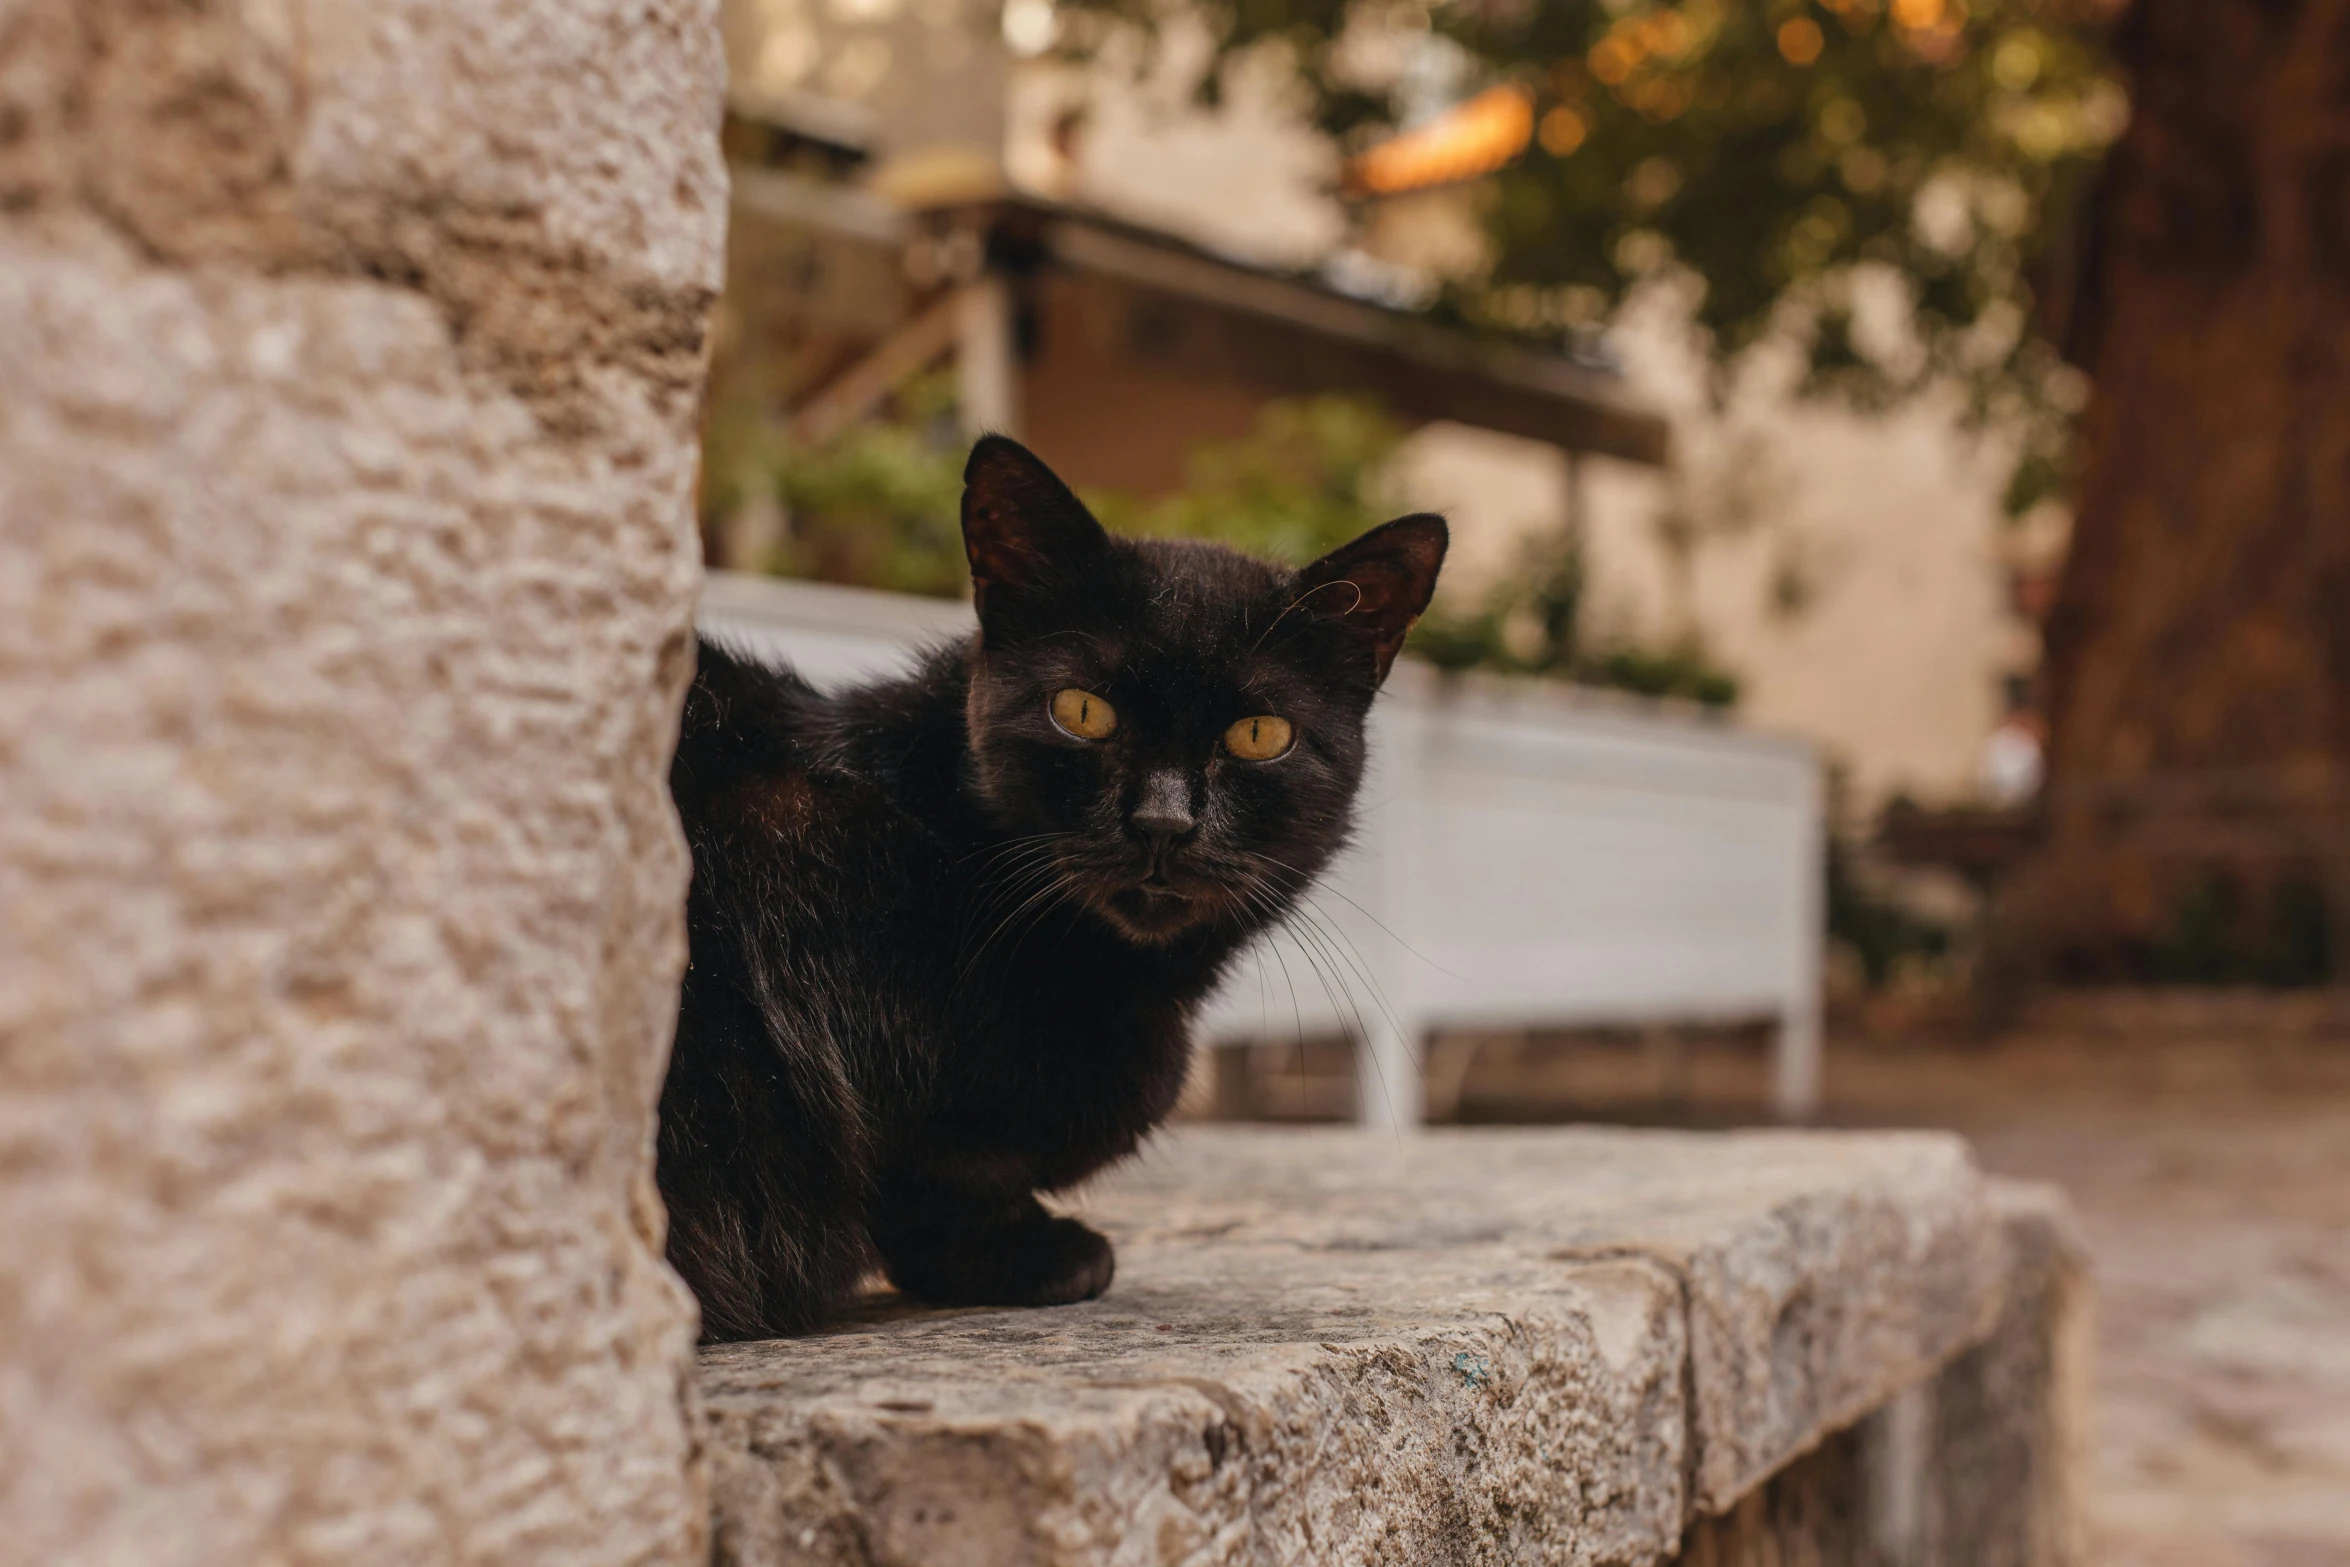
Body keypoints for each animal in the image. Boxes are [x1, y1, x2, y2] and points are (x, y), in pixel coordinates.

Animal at [653, 434, 1438, 1343]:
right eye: (1083, 711)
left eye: (1258, 734)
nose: (1163, 821)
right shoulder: (794, 843)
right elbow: (922, 1174)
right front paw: (1036, 1257)